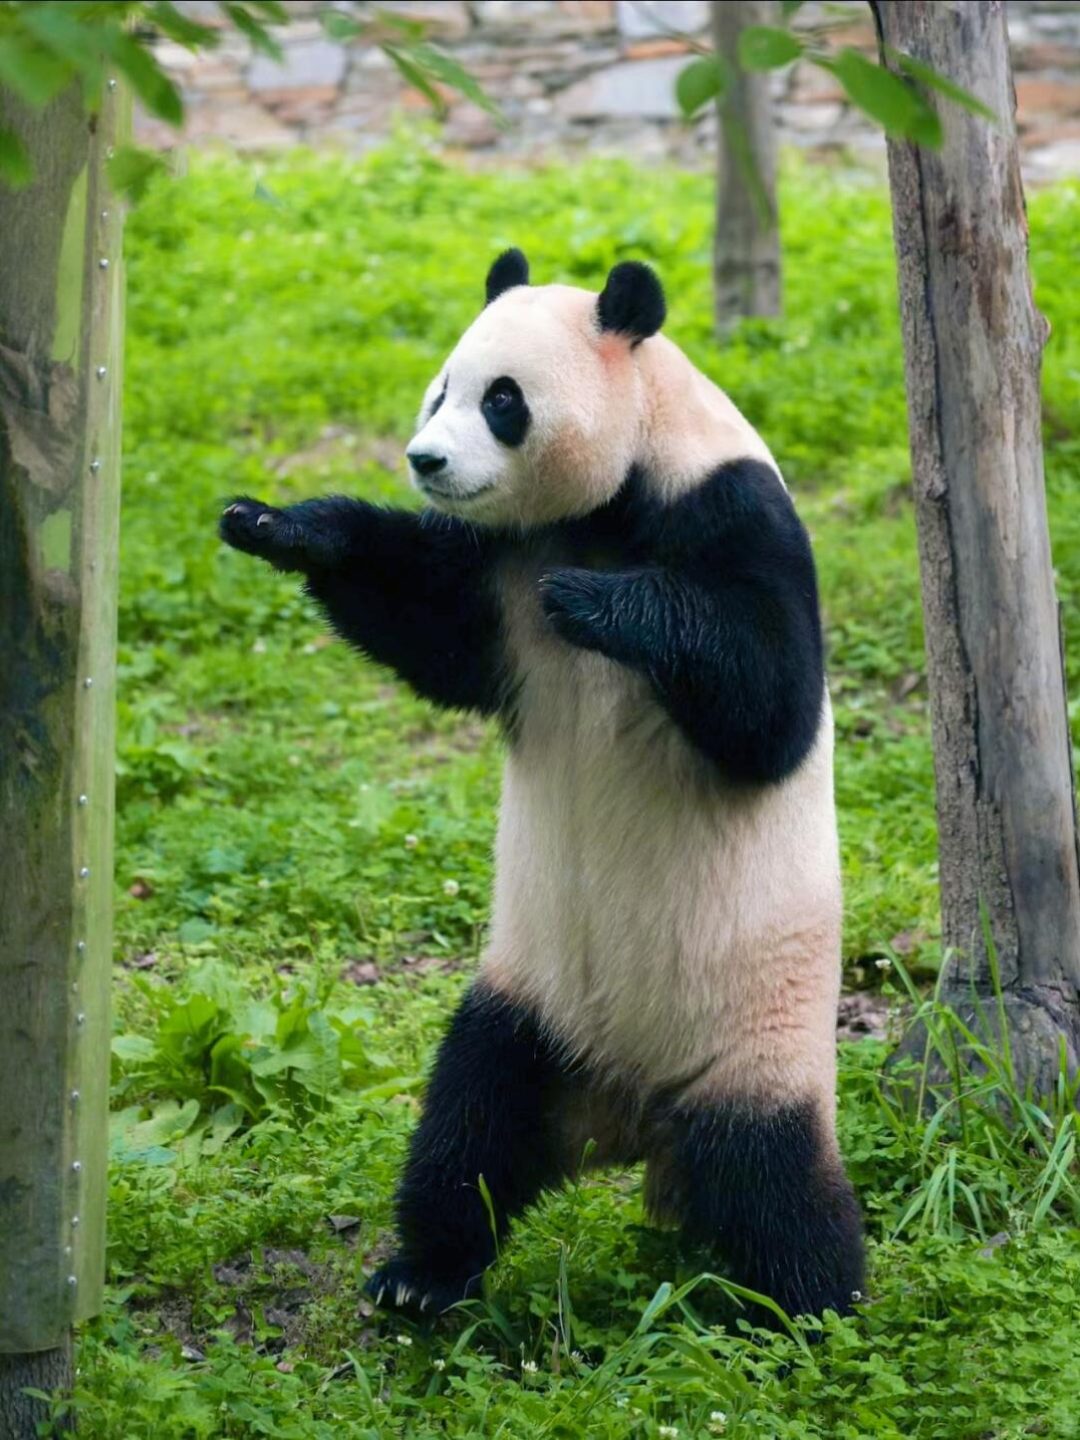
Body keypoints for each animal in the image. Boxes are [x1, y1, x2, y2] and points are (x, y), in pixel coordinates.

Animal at [219, 249, 865, 1324]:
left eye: (503, 400)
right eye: (440, 389)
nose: (425, 461)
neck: (610, 503)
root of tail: (632, 1118)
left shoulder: (735, 513)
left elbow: (768, 708)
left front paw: (600, 605)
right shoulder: (497, 571)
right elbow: (430, 631)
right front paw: (284, 526)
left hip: (754, 1043)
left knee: (773, 1183)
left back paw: (811, 1308)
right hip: (528, 1004)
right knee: (468, 1124)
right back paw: (420, 1277)